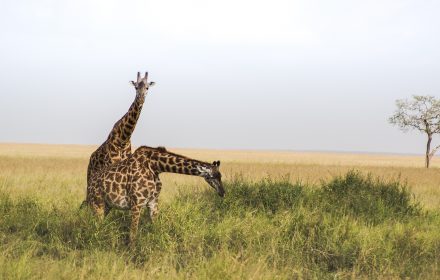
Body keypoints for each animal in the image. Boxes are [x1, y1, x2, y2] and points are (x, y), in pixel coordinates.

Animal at [83, 72, 154, 207]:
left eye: (147, 87)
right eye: (136, 87)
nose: (141, 99)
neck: (123, 138)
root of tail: (90, 159)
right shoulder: (111, 165)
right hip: (90, 178)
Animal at [87, 145, 223, 244]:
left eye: (220, 176)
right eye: (214, 176)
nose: (223, 192)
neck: (156, 166)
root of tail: (89, 184)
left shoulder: (153, 202)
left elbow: (156, 229)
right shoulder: (136, 203)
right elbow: (133, 235)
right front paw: (132, 254)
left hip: (107, 205)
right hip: (97, 203)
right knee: (96, 227)